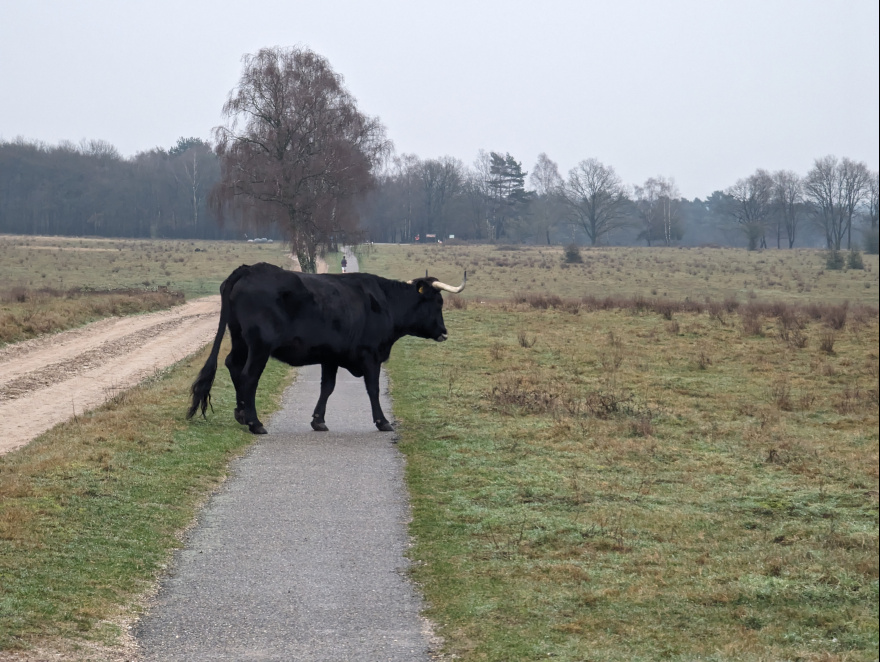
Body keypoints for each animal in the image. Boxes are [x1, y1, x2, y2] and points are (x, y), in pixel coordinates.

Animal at [186, 264, 468, 436]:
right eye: (438, 302)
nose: (444, 332)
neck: (385, 302)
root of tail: (248, 269)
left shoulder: (330, 356)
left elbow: (327, 387)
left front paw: (318, 420)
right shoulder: (371, 355)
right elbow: (373, 388)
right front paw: (382, 421)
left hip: (240, 339)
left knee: (233, 365)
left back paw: (242, 414)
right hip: (259, 346)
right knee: (248, 376)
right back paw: (255, 423)